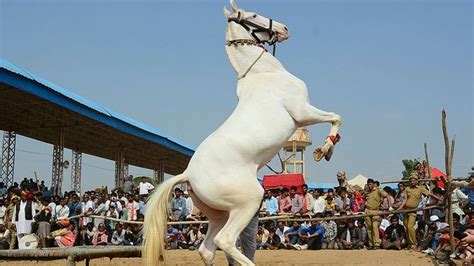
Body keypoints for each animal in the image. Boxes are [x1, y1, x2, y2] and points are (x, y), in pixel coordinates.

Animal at [143, 1, 342, 264]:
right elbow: (336, 117)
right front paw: (324, 150)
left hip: (219, 214)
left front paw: (325, 150)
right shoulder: (302, 112)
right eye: (254, 15)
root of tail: (188, 174)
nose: (285, 28)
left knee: (206, 248)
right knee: (224, 241)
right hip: (247, 203)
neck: (264, 73)